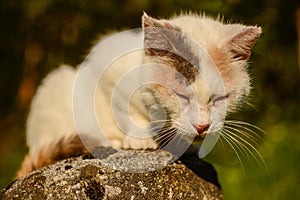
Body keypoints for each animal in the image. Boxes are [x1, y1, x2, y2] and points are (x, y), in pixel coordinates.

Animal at [17, 12, 260, 177]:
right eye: (181, 96)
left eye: (220, 98)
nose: (202, 126)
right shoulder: (106, 68)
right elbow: (124, 108)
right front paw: (139, 137)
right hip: (57, 85)